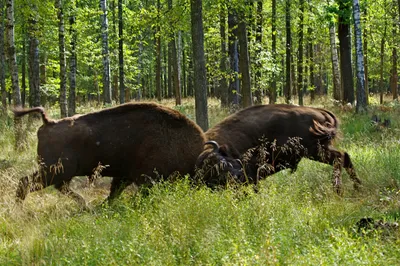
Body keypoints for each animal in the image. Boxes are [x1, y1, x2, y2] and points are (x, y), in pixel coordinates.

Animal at [12, 102, 206, 204]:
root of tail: (49, 122)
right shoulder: (145, 178)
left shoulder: (124, 175)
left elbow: (114, 192)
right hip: (55, 171)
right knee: (26, 182)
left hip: (60, 172)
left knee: (57, 187)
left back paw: (86, 205)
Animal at [195, 104, 360, 195]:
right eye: (214, 169)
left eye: (223, 163)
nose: (237, 176)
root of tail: (319, 111)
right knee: (344, 156)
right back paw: (357, 186)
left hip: (315, 151)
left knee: (339, 157)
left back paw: (338, 190)